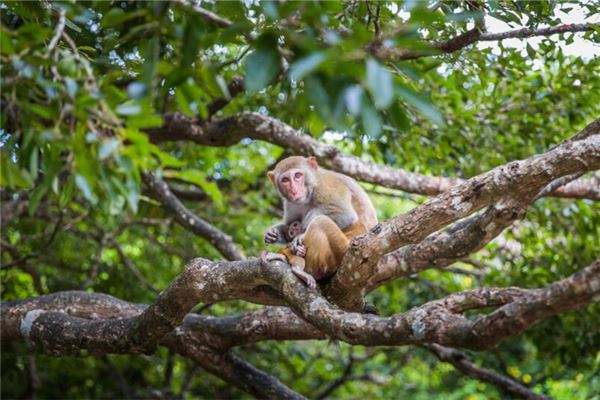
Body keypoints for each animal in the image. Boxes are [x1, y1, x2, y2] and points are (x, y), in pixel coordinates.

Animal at [262, 156, 376, 288]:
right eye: (285, 180)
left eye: (297, 175)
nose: (294, 190)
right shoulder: (290, 203)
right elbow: (288, 224)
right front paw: (273, 233)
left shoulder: (327, 186)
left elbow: (346, 214)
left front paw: (300, 236)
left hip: (340, 252)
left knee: (320, 221)